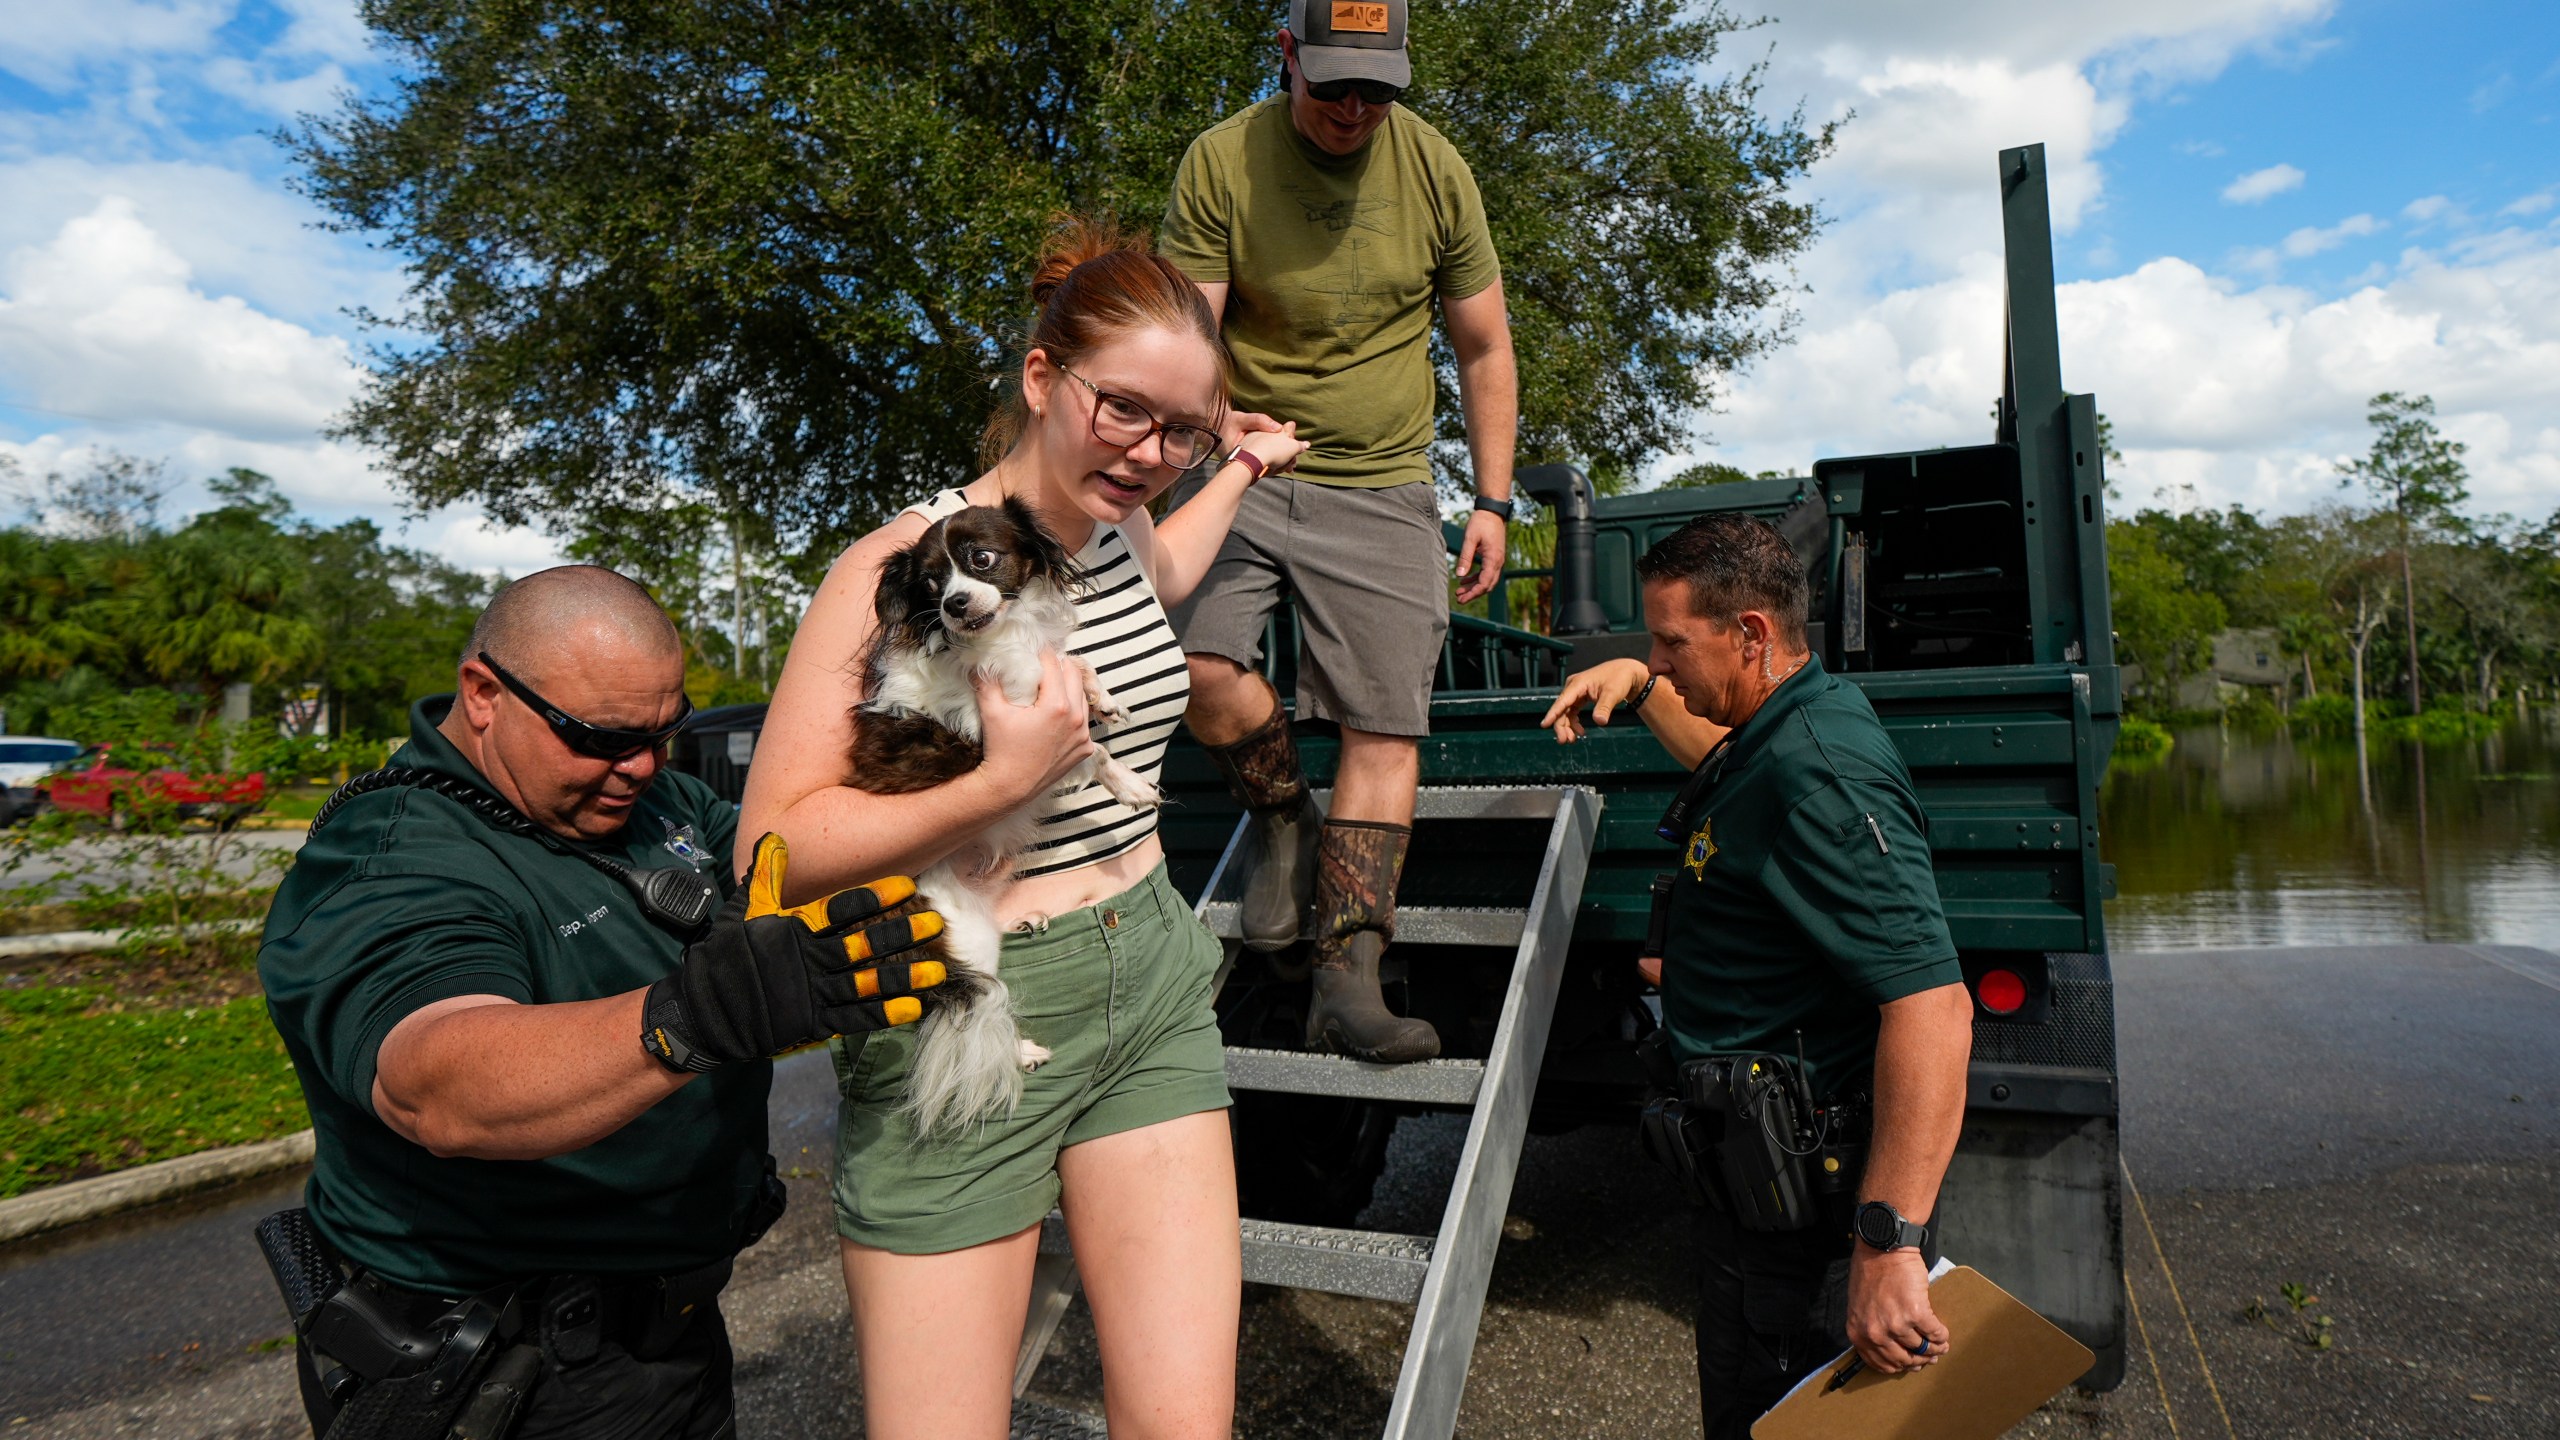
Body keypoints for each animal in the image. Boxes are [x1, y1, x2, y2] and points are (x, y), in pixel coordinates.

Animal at [849, 499, 1162, 1137]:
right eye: (930, 584)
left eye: (981, 560)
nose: (953, 604)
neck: (1004, 638)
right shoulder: (1024, 731)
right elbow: (1091, 754)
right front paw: (1128, 784)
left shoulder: (1043, 671)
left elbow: (1074, 664)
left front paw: (1104, 699)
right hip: (960, 940)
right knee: (974, 1006)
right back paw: (1019, 1053)